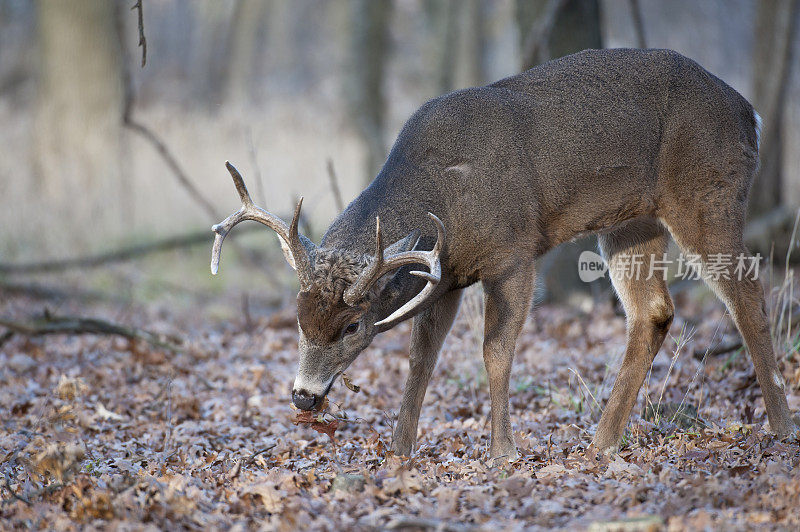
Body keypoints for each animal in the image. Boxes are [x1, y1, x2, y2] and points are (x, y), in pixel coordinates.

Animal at [209, 47, 796, 460]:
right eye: (298, 318)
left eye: (353, 326)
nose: (304, 397)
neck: (445, 197)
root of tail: (751, 114)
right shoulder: (444, 279)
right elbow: (421, 360)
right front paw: (399, 452)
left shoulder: (513, 253)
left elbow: (494, 352)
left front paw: (502, 452)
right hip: (631, 222)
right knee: (653, 311)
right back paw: (601, 442)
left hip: (707, 193)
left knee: (747, 292)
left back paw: (780, 426)